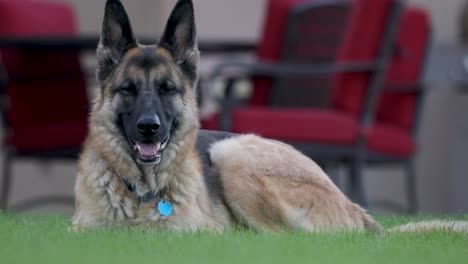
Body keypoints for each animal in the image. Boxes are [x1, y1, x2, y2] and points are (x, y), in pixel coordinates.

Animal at [73, 0, 468, 233]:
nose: (149, 129)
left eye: (167, 88)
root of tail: (352, 207)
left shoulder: (200, 233)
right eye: (128, 89)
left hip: (233, 156)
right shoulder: (79, 232)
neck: (141, 192)